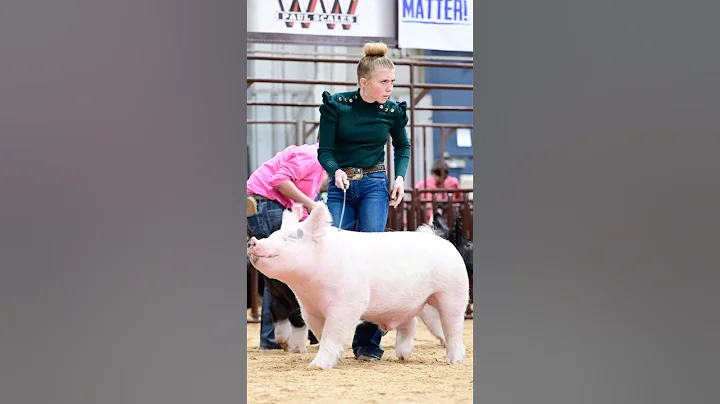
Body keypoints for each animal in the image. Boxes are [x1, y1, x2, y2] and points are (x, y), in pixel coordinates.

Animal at [247, 202, 468, 370]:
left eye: (292, 237)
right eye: (273, 234)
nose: (253, 241)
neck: (308, 287)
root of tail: (442, 241)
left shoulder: (347, 304)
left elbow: (331, 333)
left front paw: (316, 366)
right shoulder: (309, 310)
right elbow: (321, 333)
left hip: (453, 293)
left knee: (453, 327)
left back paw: (454, 361)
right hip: (409, 302)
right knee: (410, 323)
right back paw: (403, 356)